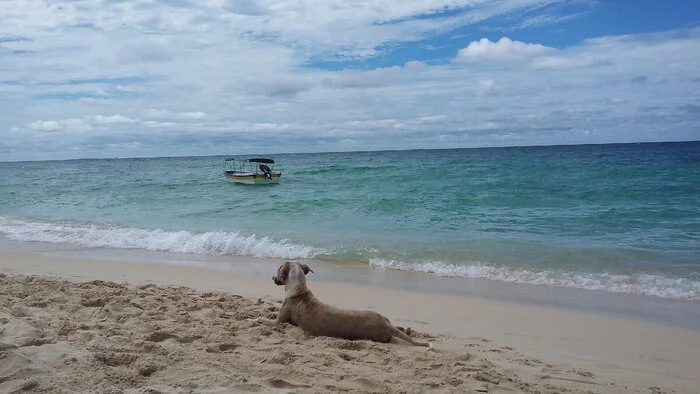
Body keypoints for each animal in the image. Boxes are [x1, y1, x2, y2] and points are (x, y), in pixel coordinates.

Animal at [249, 262, 430, 348]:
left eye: (278, 269)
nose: (272, 277)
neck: (297, 286)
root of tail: (385, 326)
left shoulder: (278, 322)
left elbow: (265, 320)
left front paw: (254, 319)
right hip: (385, 319)